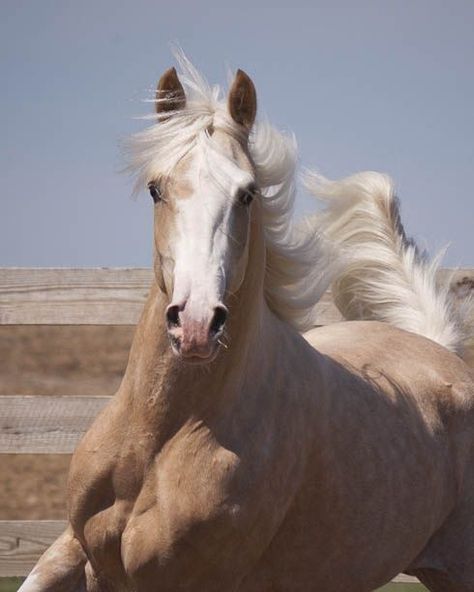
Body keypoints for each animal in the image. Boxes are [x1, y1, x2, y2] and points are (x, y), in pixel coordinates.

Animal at [21, 56, 474, 592]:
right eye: (156, 189)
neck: (158, 439)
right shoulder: (89, 560)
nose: (196, 324)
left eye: (247, 194)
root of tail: (440, 351)